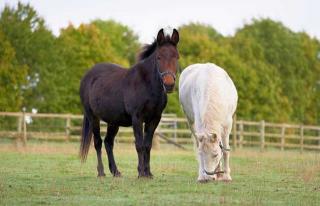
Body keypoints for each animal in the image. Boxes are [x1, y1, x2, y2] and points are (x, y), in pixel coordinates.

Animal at [79, 28, 180, 178]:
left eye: (176, 57)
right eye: (159, 57)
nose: (169, 85)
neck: (147, 85)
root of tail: (88, 76)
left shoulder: (154, 119)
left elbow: (147, 145)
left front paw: (148, 173)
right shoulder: (137, 118)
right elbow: (139, 145)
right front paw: (141, 173)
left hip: (113, 121)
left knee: (108, 142)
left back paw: (116, 171)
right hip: (93, 117)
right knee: (98, 143)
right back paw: (101, 172)